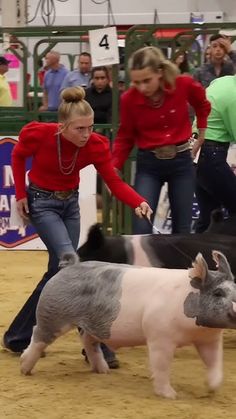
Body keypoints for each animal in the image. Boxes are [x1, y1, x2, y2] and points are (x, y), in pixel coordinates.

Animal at [19, 251, 236, 398]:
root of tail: (69, 267)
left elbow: (214, 362)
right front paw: (170, 395)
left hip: (96, 324)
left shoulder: (210, 339)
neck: (194, 330)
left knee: (87, 339)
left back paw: (103, 370)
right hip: (53, 313)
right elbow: (162, 365)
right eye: (218, 293)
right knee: (39, 335)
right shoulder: (159, 336)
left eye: (235, 290)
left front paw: (211, 388)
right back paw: (24, 369)